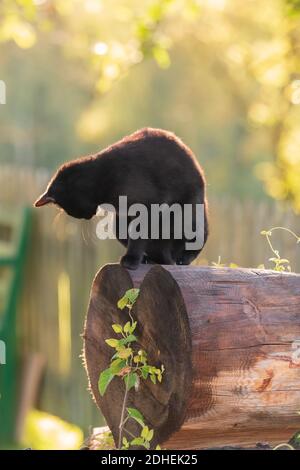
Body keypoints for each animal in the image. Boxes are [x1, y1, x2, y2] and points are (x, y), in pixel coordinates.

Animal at [34, 126, 209, 270]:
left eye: (70, 210)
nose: (88, 216)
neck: (102, 179)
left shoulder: (147, 207)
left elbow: (139, 233)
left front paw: (131, 259)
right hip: (118, 224)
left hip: (186, 214)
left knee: (194, 241)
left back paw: (179, 259)